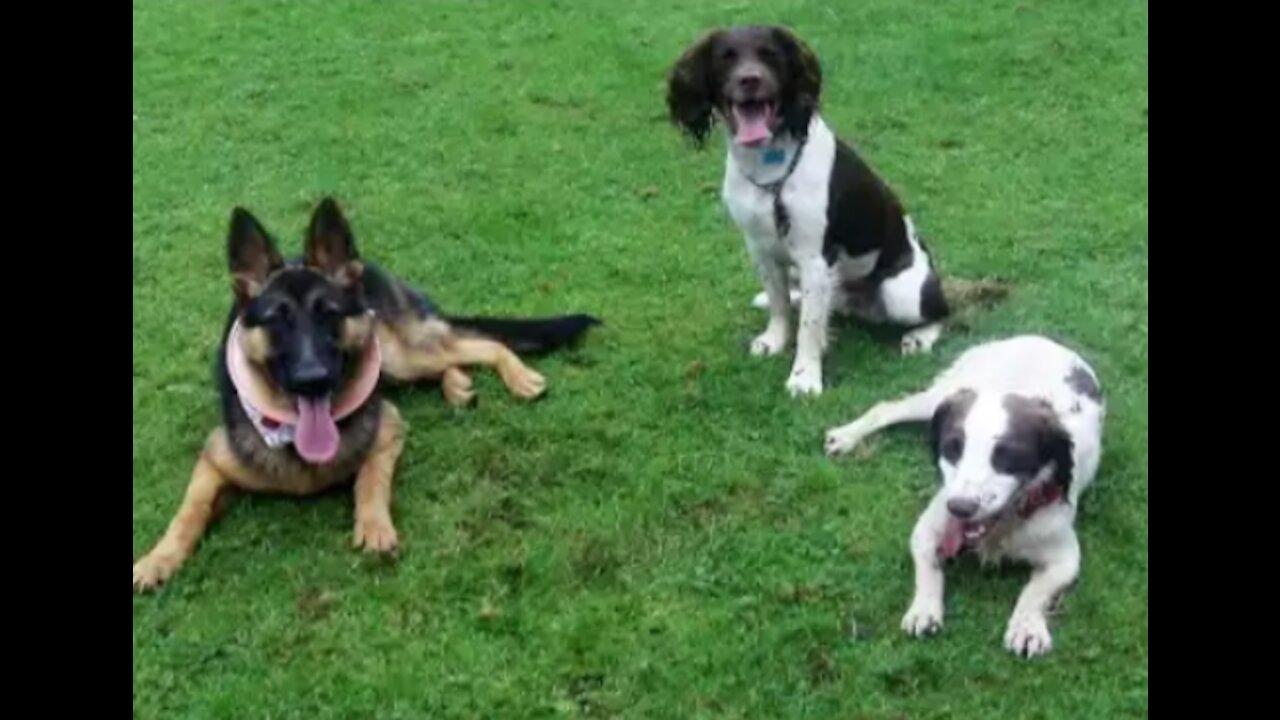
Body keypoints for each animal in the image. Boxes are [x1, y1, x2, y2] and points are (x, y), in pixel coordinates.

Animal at [132, 197, 601, 589]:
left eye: (329, 314)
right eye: (278, 320)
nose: (313, 379)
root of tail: (366, 265)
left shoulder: (390, 429)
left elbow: (371, 479)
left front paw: (375, 526)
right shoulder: (213, 459)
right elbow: (188, 511)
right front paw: (158, 559)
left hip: (398, 354)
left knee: (479, 345)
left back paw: (519, 377)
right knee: (449, 360)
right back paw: (458, 387)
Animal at [670, 26, 952, 397]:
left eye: (770, 55)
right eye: (725, 58)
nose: (750, 79)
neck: (770, 172)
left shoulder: (815, 259)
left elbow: (808, 326)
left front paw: (804, 377)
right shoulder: (759, 247)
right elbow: (779, 303)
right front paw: (774, 341)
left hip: (902, 292)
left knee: (942, 312)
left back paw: (919, 337)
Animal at [824, 335, 1105, 655]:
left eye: (1007, 457)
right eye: (952, 448)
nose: (960, 508)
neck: (1003, 525)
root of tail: (1035, 338)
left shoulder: (1065, 556)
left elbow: (1035, 591)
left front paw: (1027, 626)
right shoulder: (927, 528)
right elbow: (928, 569)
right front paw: (924, 609)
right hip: (940, 397)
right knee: (888, 407)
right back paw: (846, 436)